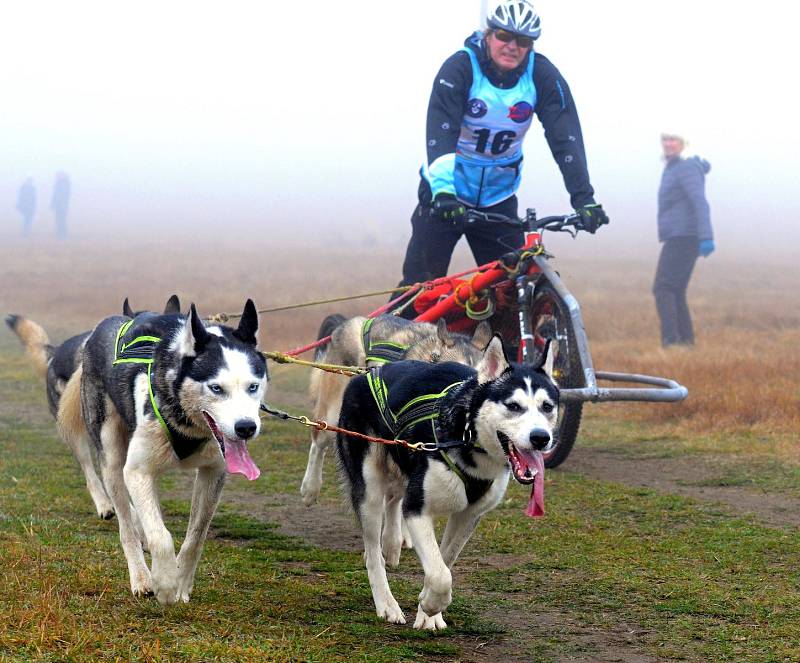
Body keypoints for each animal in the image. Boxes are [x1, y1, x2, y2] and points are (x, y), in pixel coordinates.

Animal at [76, 300, 268, 608]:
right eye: (216, 388)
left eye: (253, 386)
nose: (246, 427)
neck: (187, 423)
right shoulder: (138, 471)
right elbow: (160, 535)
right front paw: (165, 584)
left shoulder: (213, 472)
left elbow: (196, 536)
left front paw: (181, 583)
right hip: (112, 458)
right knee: (126, 526)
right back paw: (141, 578)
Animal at [336, 340, 556, 632]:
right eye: (513, 405)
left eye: (547, 406)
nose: (541, 438)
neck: (466, 437)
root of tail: (367, 374)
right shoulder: (417, 508)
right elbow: (440, 574)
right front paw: (431, 604)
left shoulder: (468, 515)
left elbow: (443, 563)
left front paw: (428, 613)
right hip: (370, 488)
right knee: (373, 554)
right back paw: (386, 604)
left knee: (393, 501)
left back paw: (392, 544)